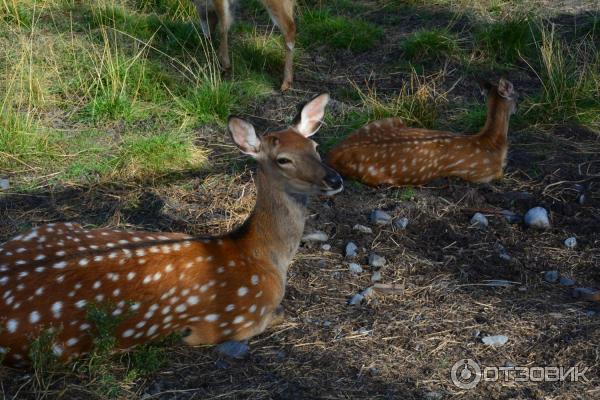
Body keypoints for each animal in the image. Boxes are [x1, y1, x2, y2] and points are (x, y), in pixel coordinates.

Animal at [326, 79, 516, 187]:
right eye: (517, 95)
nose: (517, 109)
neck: (492, 143)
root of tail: (333, 154)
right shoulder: (483, 174)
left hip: (390, 120)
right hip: (378, 177)